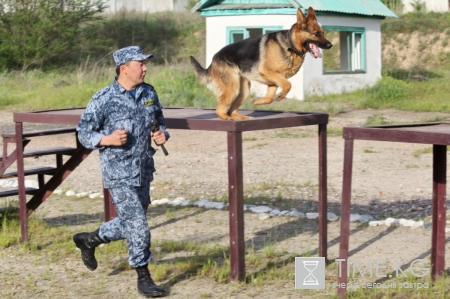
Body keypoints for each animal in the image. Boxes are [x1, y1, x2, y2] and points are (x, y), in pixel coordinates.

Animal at [191, 7, 334, 120]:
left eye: (323, 33)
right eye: (316, 34)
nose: (330, 45)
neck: (290, 45)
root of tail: (214, 59)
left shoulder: (273, 81)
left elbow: (270, 97)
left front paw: (259, 101)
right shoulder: (269, 73)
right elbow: (288, 84)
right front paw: (280, 96)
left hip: (244, 92)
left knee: (231, 110)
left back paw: (242, 117)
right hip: (232, 88)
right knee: (220, 110)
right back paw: (228, 119)